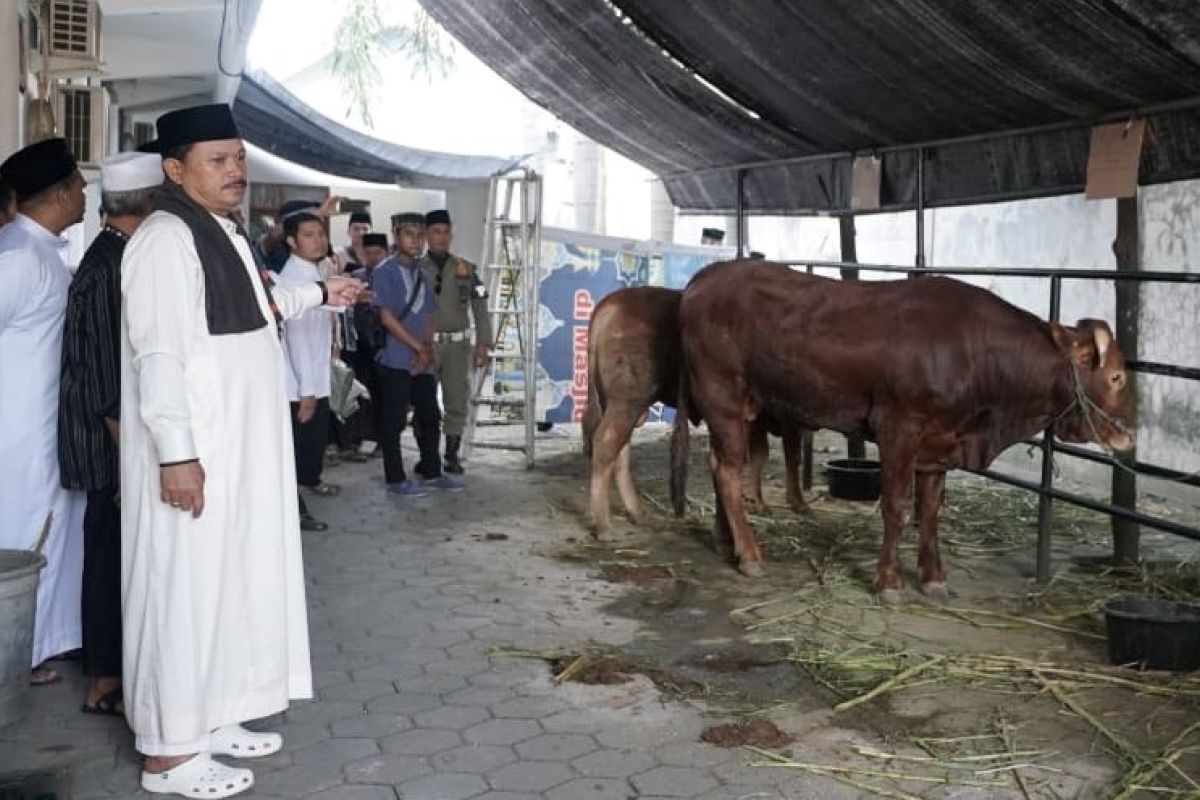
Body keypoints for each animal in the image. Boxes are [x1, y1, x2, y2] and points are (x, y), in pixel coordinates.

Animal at [583, 287, 806, 537]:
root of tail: (612, 301)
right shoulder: (783, 419)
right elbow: (786, 457)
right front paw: (793, 503)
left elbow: (762, 455)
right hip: (627, 399)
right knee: (606, 442)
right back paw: (603, 525)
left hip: (623, 404)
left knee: (619, 448)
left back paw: (635, 512)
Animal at [676, 260, 1132, 597]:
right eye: (1116, 377)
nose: (1127, 435)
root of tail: (707, 277)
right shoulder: (898, 428)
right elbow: (896, 506)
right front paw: (890, 581)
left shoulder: (940, 441)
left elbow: (930, 510)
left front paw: (933, 577)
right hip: (723, 397)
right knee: (727, 470)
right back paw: (751, 554)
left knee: (718, 465)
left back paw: (726, 541)